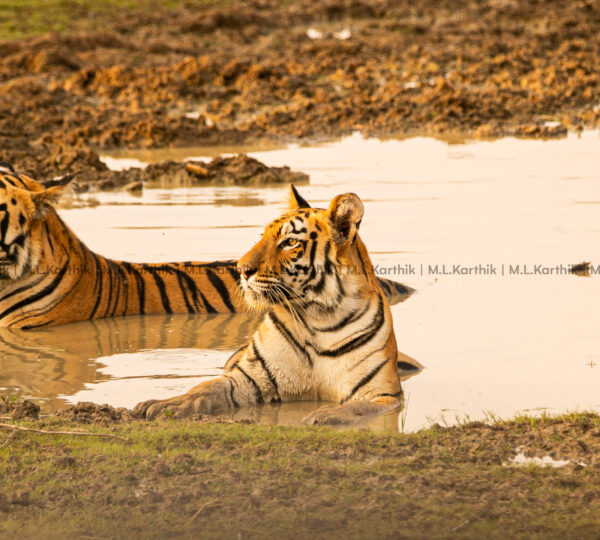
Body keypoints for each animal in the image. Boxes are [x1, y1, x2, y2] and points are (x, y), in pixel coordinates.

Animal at [136, 186, 404, 426]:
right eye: (262, 236)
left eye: (290, 242)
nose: (241, 269)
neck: (319, 318)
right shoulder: (250, 378)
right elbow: (204, 387)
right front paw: (162, 405)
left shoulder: (383, 394)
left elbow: (357, 407)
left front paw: (322, 414)